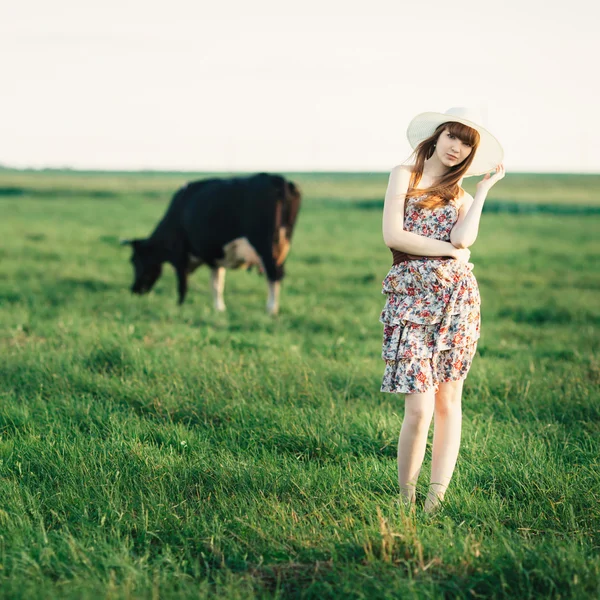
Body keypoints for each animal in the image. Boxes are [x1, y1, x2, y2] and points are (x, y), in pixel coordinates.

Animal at [120, 171, 300, 314]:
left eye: (135, 261)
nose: (134, 290)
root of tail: (279, 180)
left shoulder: (180, 255)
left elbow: (182, 284)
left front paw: (179, 306)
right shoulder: (214, 257)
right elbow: (216, 284)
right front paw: (219, 309)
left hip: (265, 247)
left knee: (274, 275)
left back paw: (271, 309)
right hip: (282, 246)